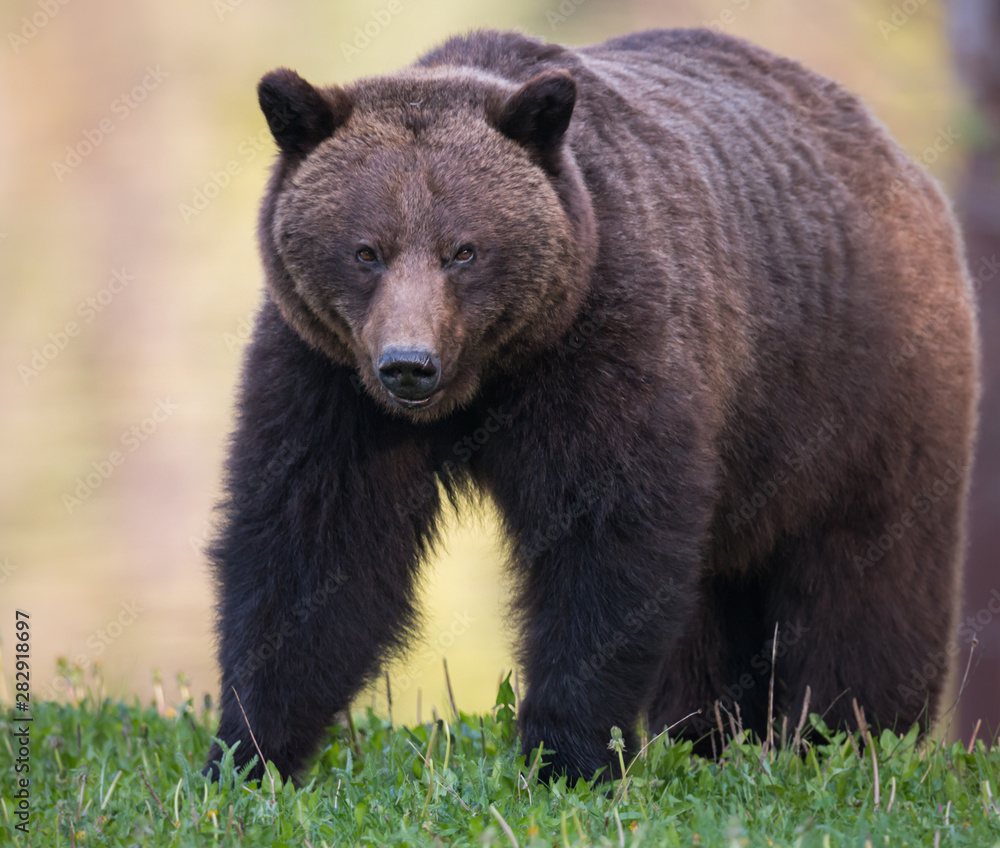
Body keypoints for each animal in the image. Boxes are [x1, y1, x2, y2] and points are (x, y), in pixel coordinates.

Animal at [203, 26, 976, 780]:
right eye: (366, 250)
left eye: (464, 250)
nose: (409, 367)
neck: (487, 375)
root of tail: (899, 160)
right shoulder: (329, 377)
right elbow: (312, 543)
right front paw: (249, 751)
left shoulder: (603, 341)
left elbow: (605, 537)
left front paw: (568, 753)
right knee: (715, 601)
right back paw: (710, 736)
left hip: (858, 391)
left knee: (866, 577)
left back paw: (848, 738)